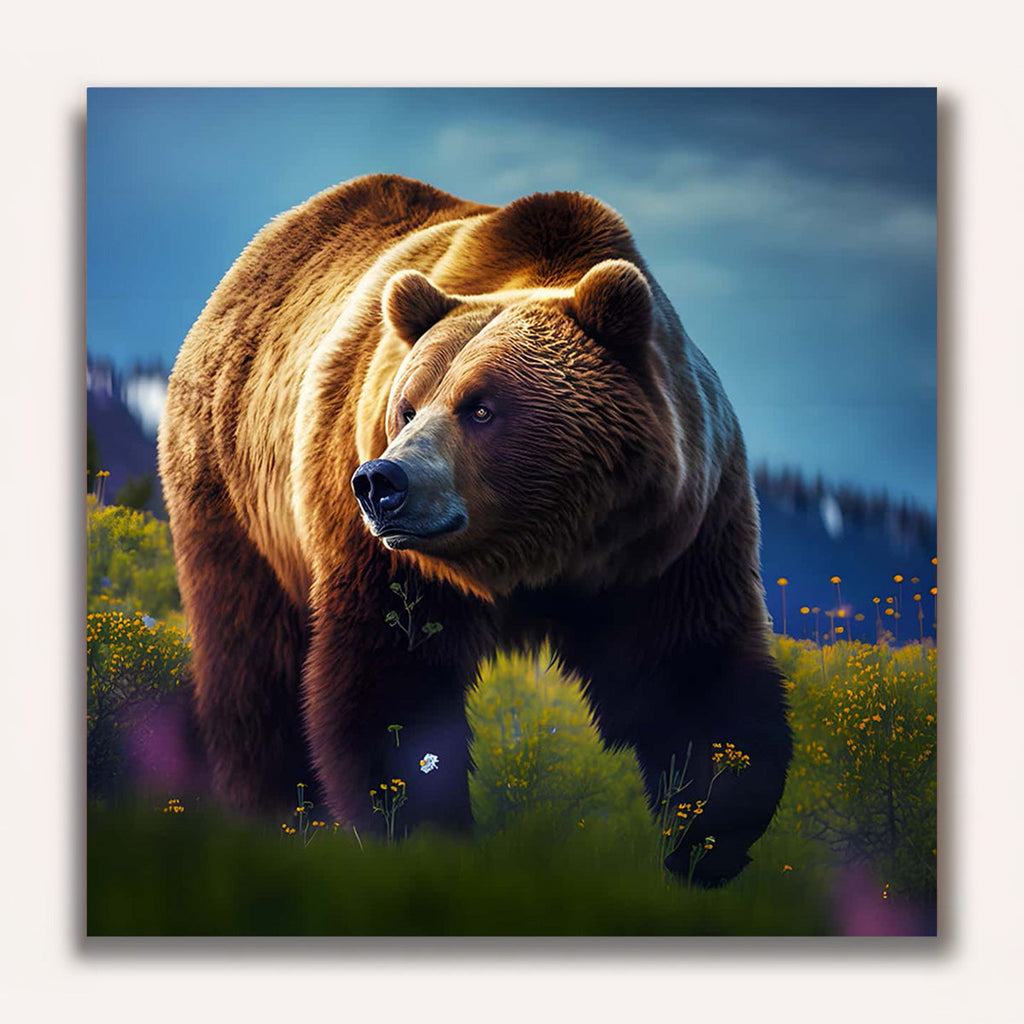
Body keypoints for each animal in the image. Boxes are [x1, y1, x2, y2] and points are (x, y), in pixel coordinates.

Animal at [158, 173, 792, 885]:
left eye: (481, 407)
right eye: (406, 406)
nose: (381, 483)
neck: (539, 545)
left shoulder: (670, 537)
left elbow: (694, 676)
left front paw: (706, 842)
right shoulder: (390, 560)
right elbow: (390, 685)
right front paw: (426, 836)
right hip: (234, 494)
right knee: (251, 661)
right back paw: (275, 809)